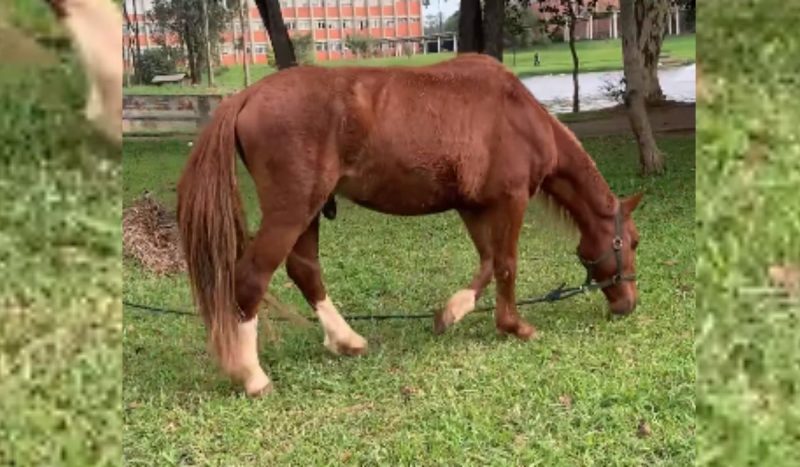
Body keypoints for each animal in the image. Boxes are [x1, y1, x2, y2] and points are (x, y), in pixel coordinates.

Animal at [177, 54, 643, 397]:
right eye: (633, 241)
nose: (628, 303)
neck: (518, 115)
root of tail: (248, 95)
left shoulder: (474, 207)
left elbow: (488, 262)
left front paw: (451, 313)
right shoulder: (509, 201)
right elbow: (507, 263)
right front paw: (515, 326)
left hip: (307, 212)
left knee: (305, 271)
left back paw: (347, 341)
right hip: (291, 211)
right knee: (252, 279)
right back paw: (253, 377)